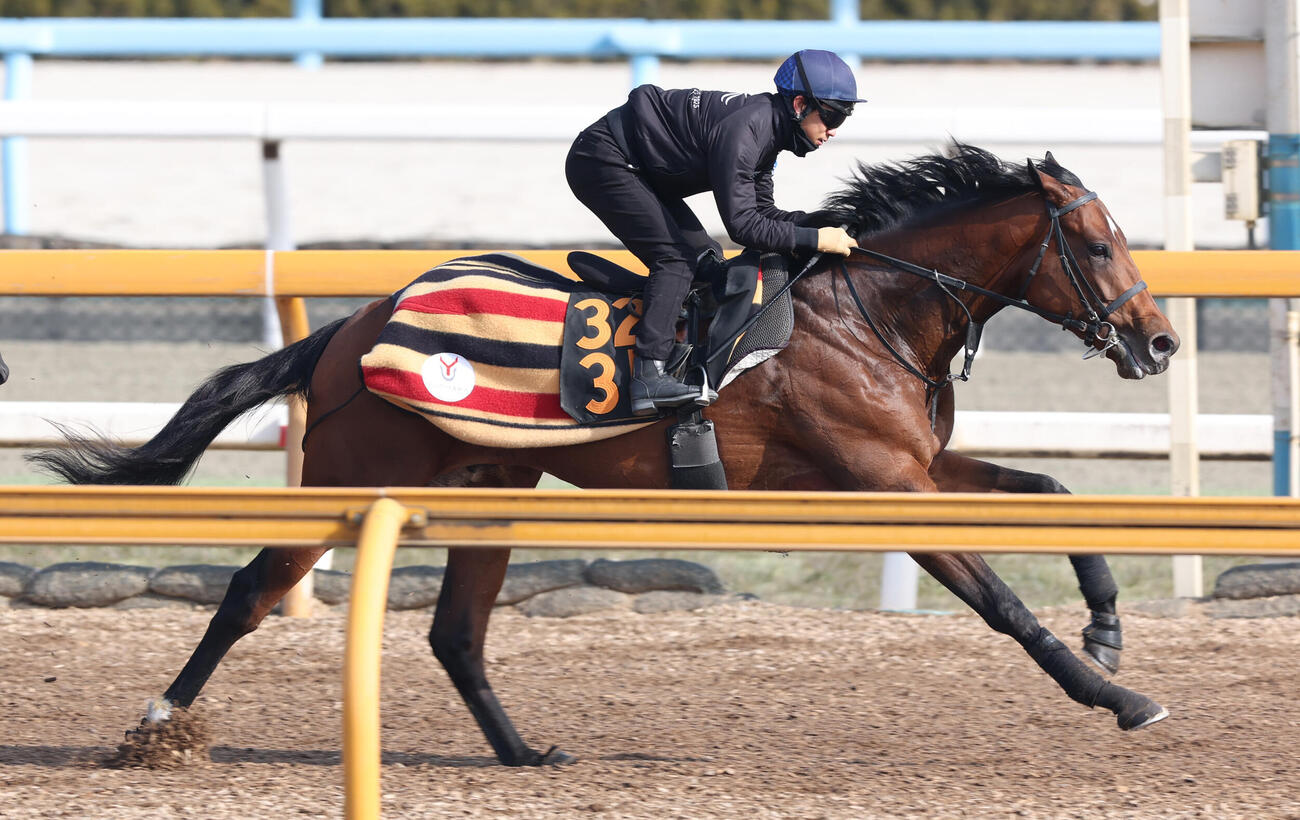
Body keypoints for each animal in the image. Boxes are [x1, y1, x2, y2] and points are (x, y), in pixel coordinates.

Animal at [31, 145, 1178, 766]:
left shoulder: (913, 466)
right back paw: (155, 724)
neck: (871, 307)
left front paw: (1111, 629)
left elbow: (1052, 486)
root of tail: (352, 325)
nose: (1160, 340)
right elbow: (1003, 602)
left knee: (454, 631)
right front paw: (1118, 696)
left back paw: (521, 752)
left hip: (491, 485)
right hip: (361, 472)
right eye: (1099, 242)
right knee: (252, 588)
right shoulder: (885, 481)